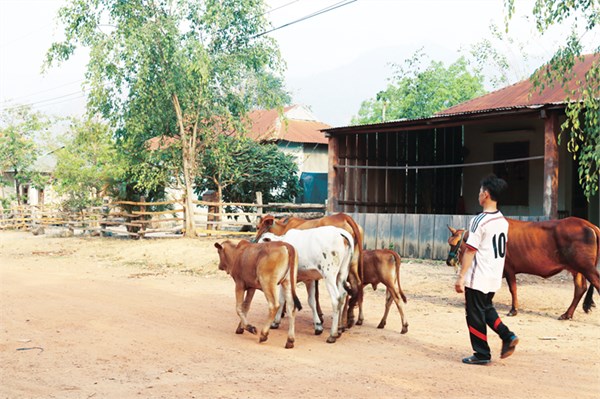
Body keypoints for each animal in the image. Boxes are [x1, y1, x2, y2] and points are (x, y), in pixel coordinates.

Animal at [446, 217, 600, 320]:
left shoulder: (508, 268)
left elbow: (512, 289)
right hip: (577, 269)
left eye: (454, 243)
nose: (448, 261)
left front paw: (513, 310)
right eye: (449, 242)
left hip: (586, 267)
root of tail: (587, 223)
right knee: (580, 288)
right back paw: (567, 314)